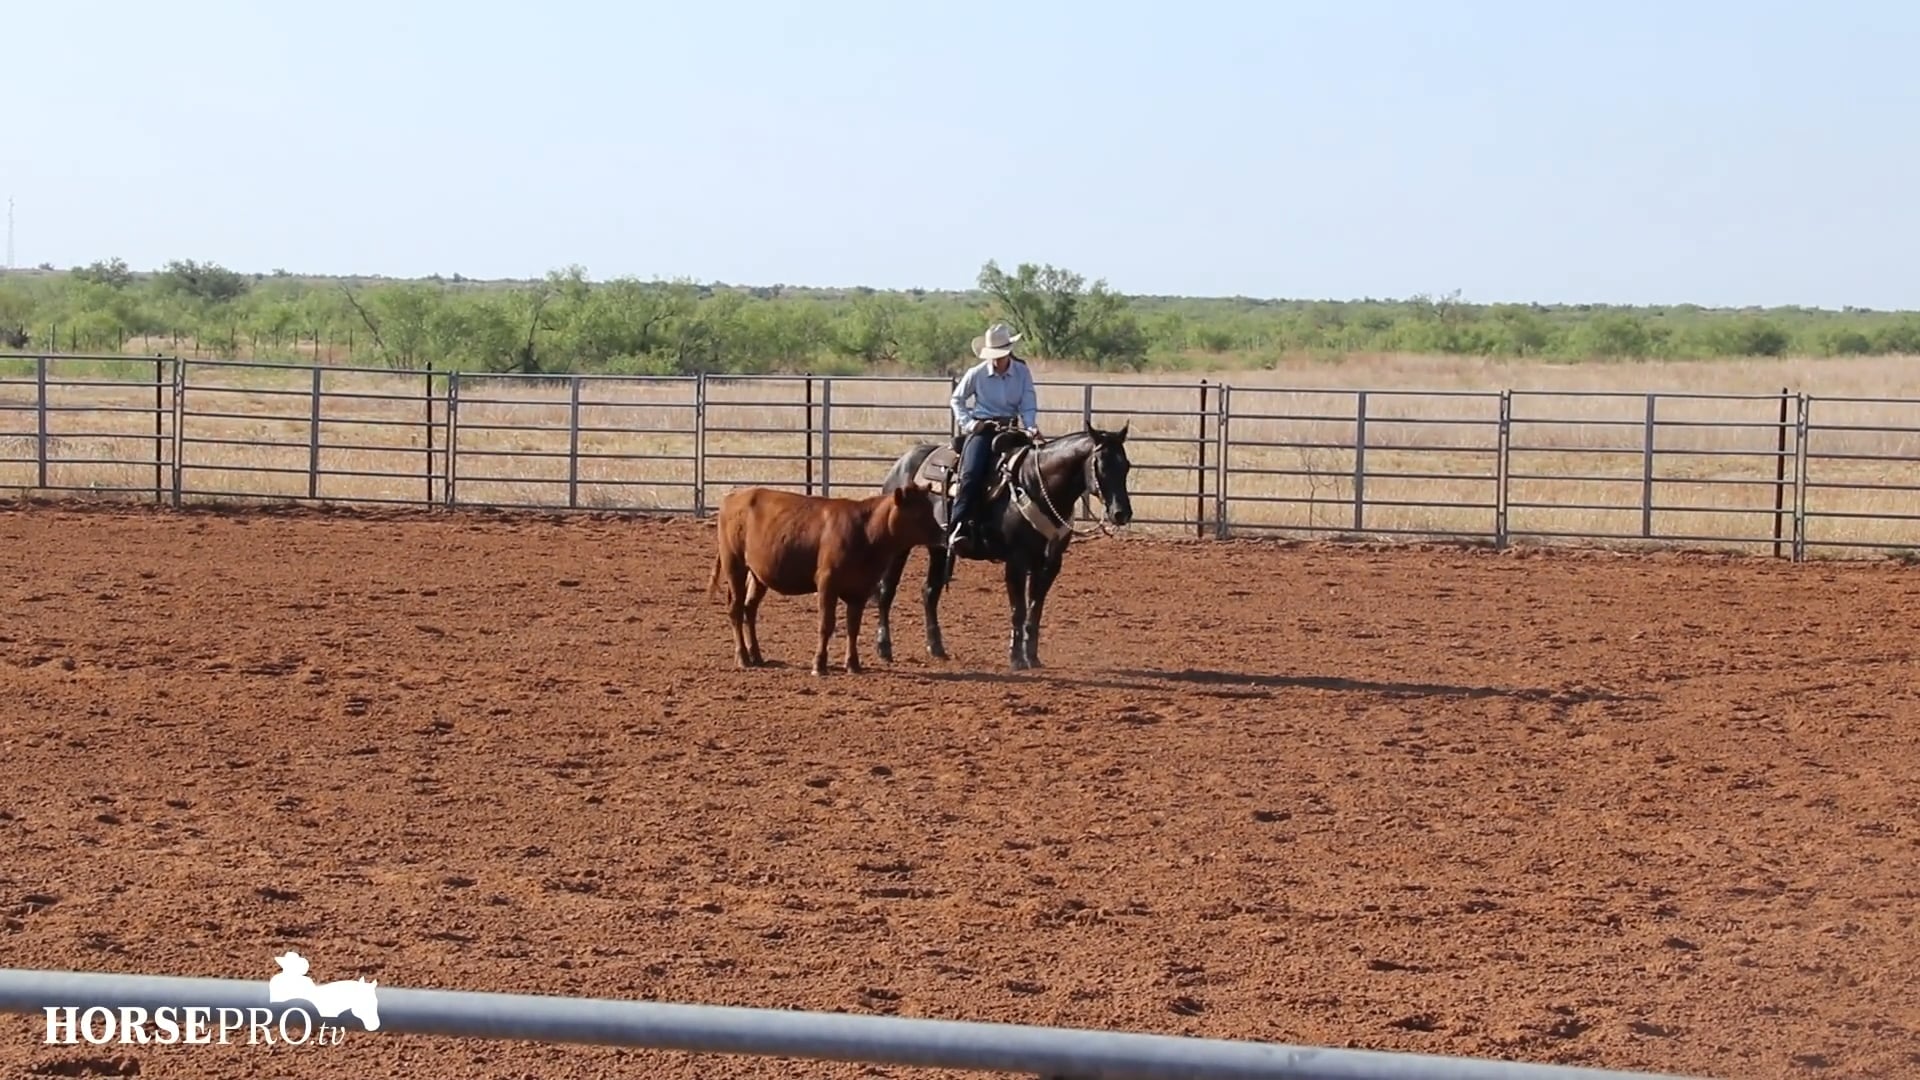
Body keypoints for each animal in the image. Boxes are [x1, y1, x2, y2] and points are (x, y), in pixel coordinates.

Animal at [708, 482, 944, 676]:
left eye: (930, 509)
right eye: (917, 513)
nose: (941, 534)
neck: (866, 532)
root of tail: (733, 496)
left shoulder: (860, 590)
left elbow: (853, 627)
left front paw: (853, 664)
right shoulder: (827, 584)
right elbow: (826, 624)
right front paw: (819, 664)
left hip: (758, 575)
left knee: (750, 609)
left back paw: (756, 655)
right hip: (734, 564)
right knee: (736, 609)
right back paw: (743, 658)